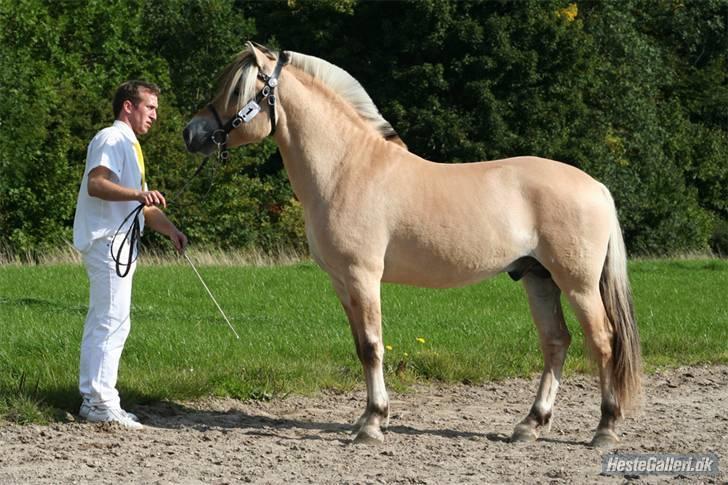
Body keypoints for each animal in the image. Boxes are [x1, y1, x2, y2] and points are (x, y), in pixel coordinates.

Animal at [183, 42, 644, 446]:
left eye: (238, 91)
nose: (192, 133)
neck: (346, 168)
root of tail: (596, 186)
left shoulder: (363, 276)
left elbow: (373, 347)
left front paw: (372, 425)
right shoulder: (341, 282)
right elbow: (360, 347)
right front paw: (366, 418)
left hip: (578, 284)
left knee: (602, 342)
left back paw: (604, 430)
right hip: (538, 277)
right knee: (556, 342)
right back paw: (529, 425)